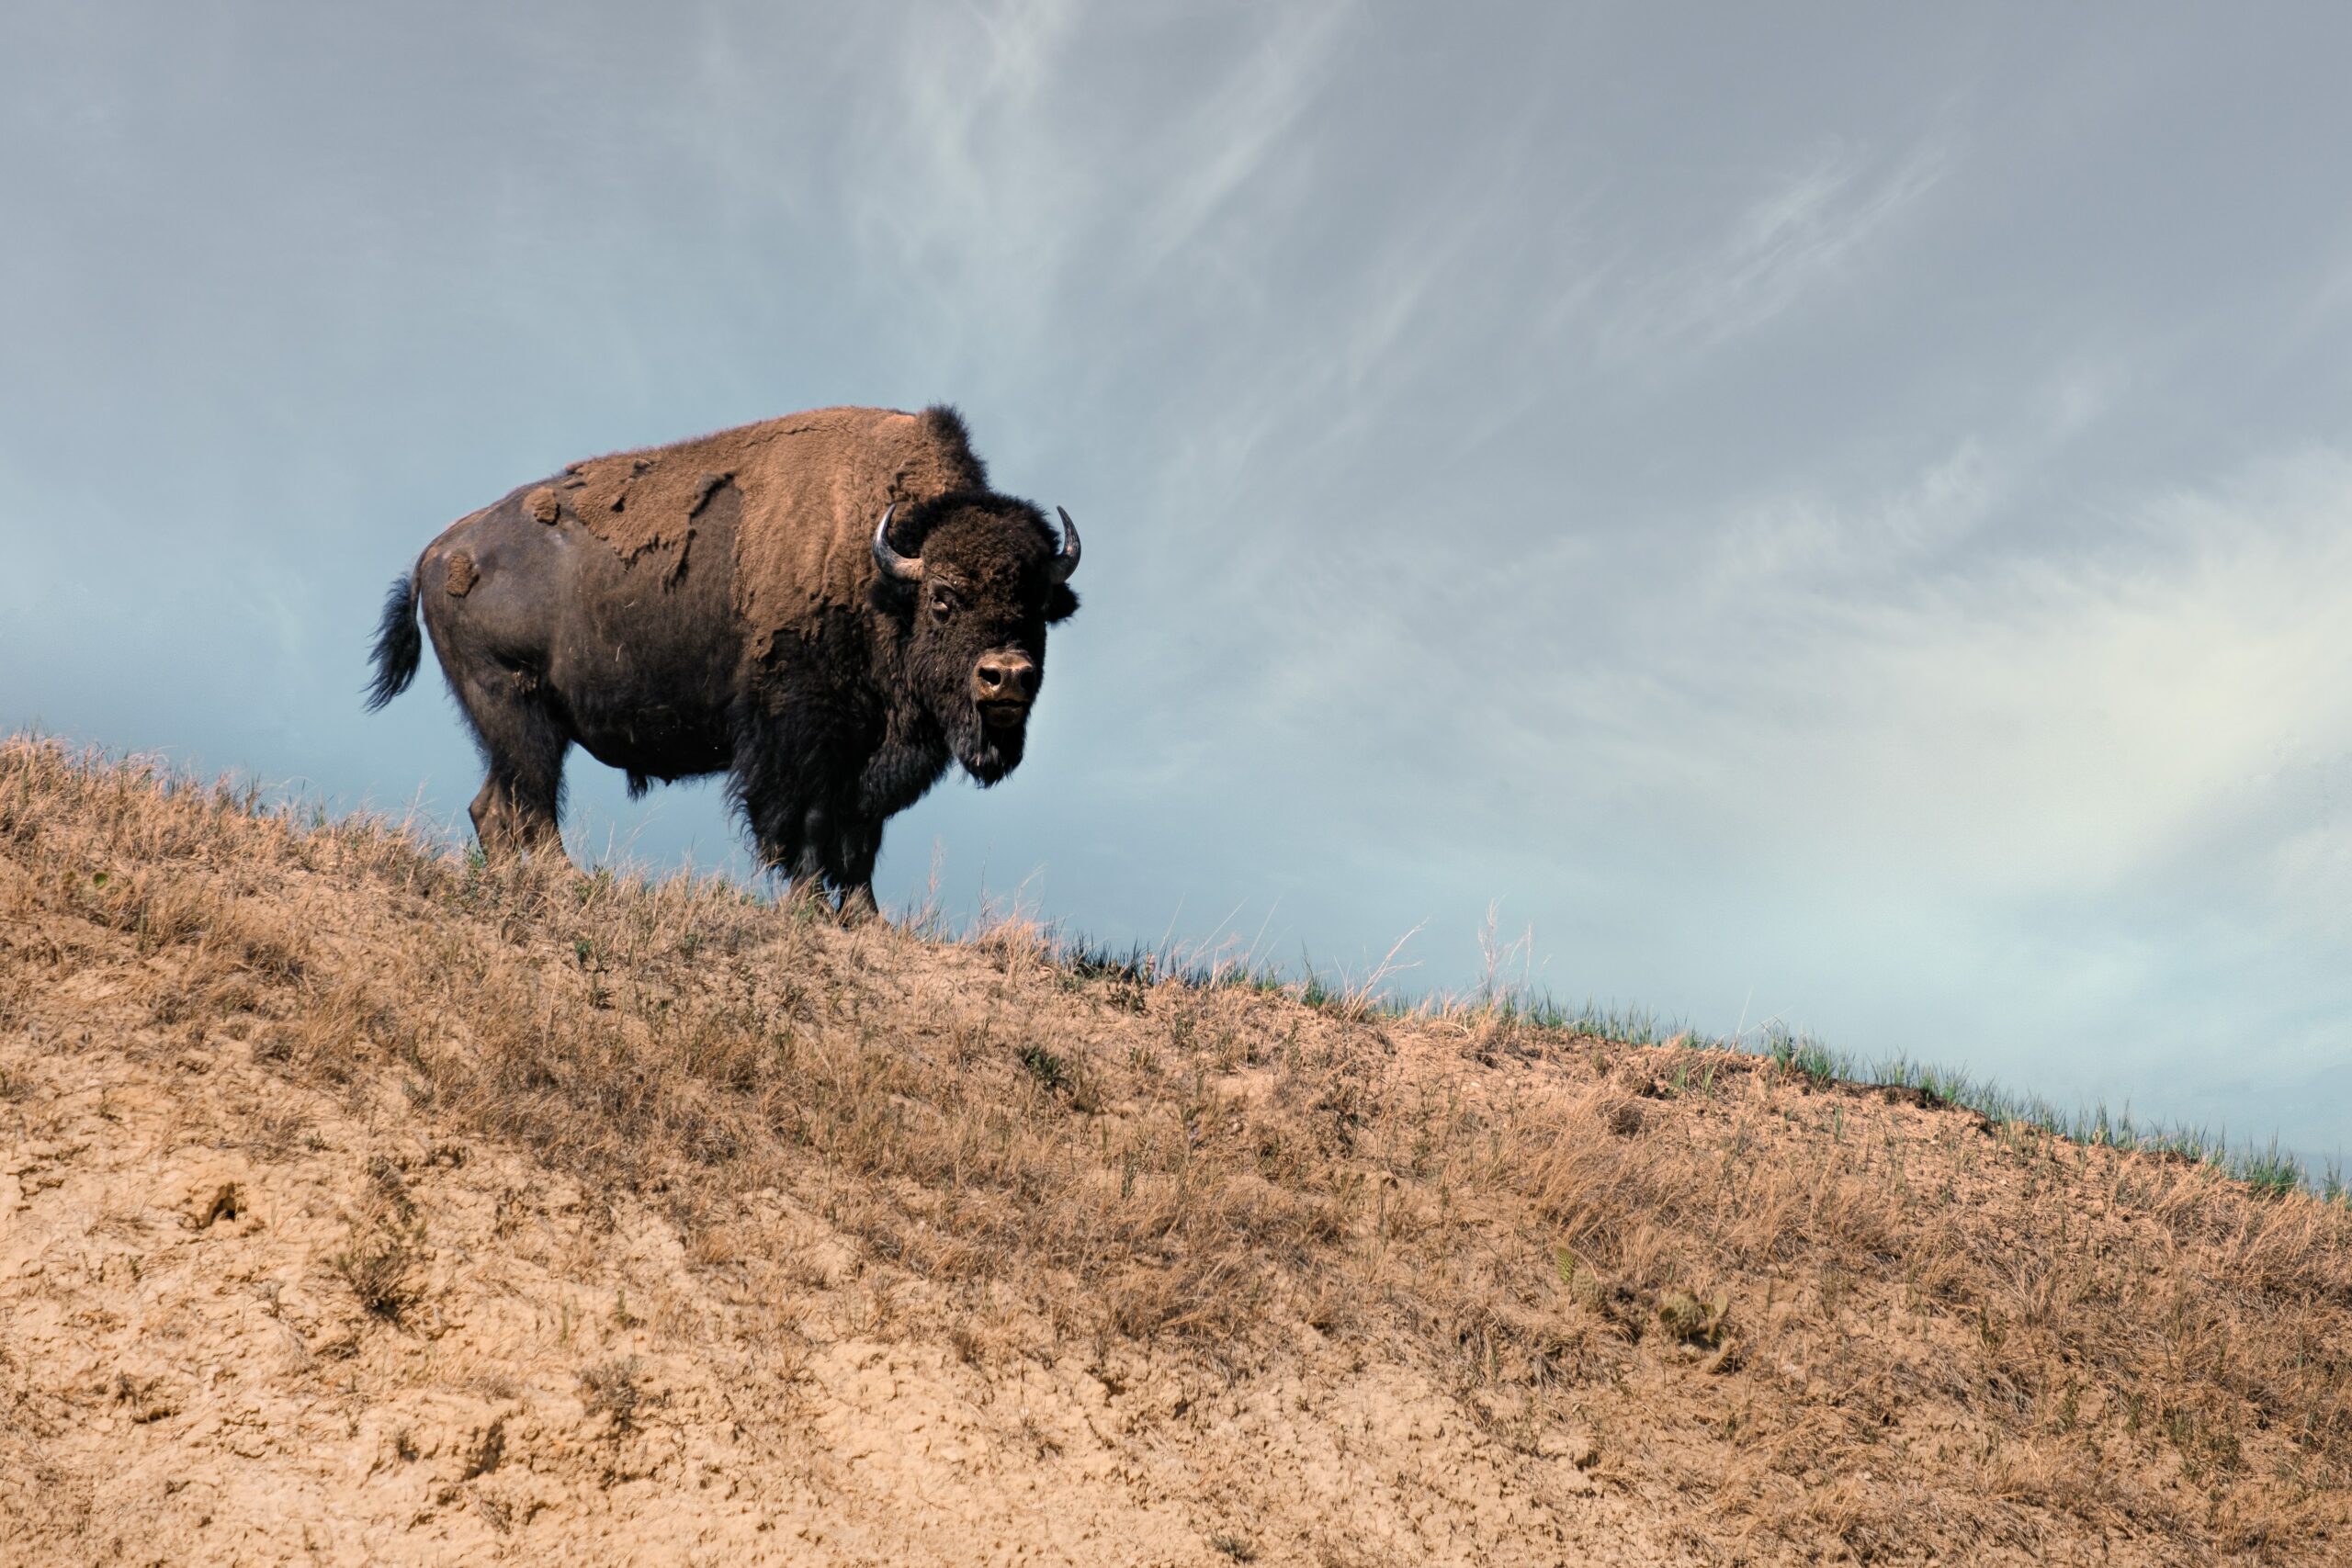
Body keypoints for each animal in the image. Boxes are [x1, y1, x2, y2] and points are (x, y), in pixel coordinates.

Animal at [366, 405, 1080, 919]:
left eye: (1038, 605)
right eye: (943, 598)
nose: (1006, 677)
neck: (882, 575)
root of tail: (439, 550)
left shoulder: (869, 753)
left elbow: (860, 837)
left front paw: (867, 918)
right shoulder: (802, 737)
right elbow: (809, 825)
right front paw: (808, 906)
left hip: (515, 724)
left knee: (496, 804)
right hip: (518, 709)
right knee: (533, 802)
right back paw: (565, 881)